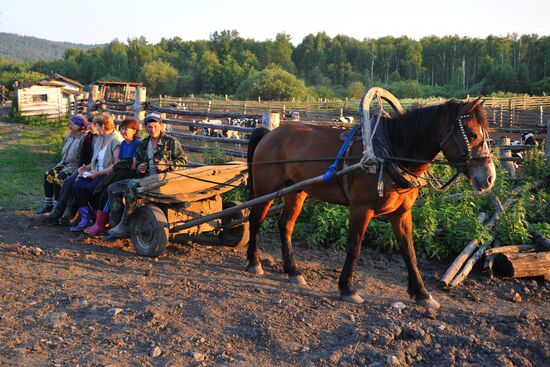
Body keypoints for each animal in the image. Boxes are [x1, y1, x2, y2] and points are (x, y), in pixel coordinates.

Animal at [246, 97, 496, 308]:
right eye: (472, 134)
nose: (489, 177)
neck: (389, 153)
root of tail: (270, 134)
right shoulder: (361, 209)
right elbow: (354, 247)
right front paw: (347, 288)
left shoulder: (401, 213)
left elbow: (409, 251)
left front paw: (422, 293)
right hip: (266, 188)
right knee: (255, 220)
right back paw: (254, 263)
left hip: (297, 191)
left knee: (285, 226)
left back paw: (293, 272)